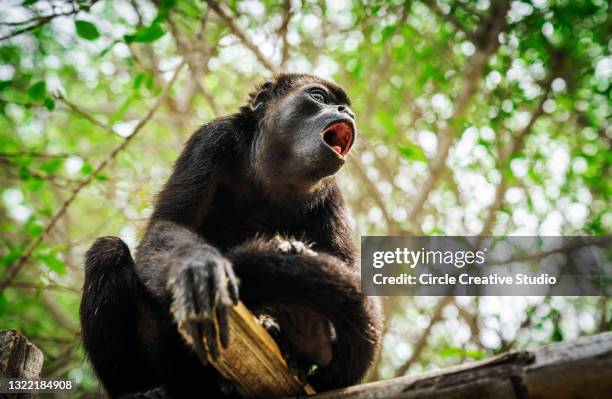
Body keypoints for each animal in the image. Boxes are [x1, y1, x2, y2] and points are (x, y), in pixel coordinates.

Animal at [79, 73, 380, 398]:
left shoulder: (331, 195)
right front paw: (195, 265)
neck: (272, 179)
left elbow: (348, 269)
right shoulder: (211, 139)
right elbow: (166, 225)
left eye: (346, 107)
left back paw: (303, 335)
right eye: (319, 97)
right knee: (107, 252)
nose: (346, 112)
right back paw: (136, 389)